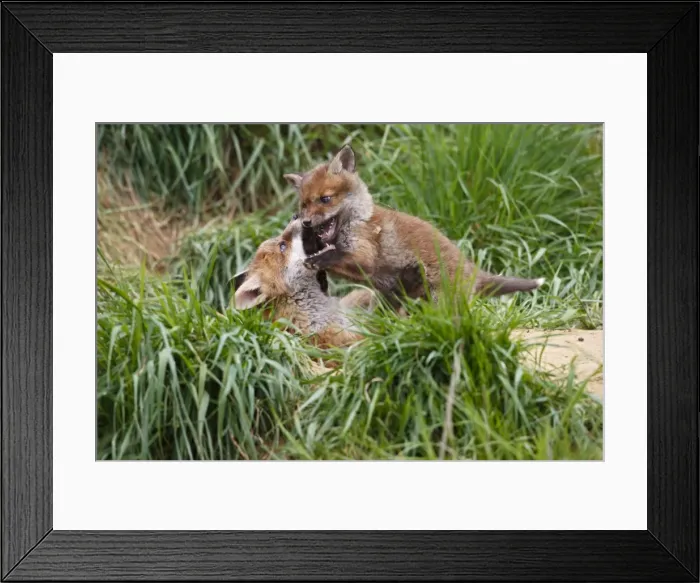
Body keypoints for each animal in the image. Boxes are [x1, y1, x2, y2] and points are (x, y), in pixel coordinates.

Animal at [284, 144, 544, 308]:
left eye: (325, 199)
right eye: (303, 205)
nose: (305, 221)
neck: (359, 221)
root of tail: (472, 269)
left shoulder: (364, 255)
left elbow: (334, 257)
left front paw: (318, 260)